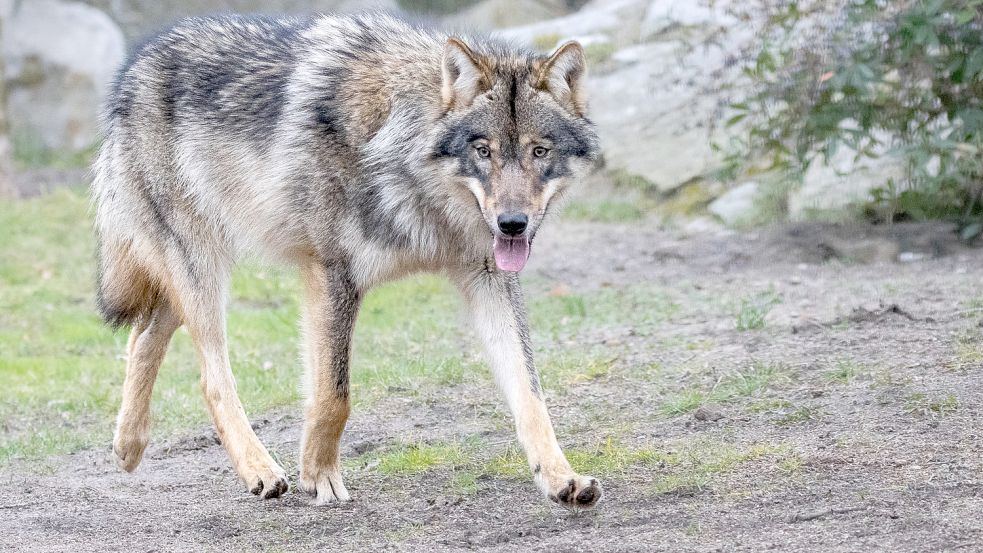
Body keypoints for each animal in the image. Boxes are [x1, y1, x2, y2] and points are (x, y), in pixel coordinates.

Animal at [94, 10, 600, 506]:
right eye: (483, 151)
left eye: (539, 151)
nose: (512, 224)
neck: (399, 155)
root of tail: (135, 66)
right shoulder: (332, 273)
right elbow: (334, 396)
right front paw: (319, 476)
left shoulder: (488, 277)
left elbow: (530, 392)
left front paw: (561, 477)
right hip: (202, 268)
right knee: (211, 378)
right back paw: (260, 470)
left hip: (189, 274)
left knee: (143, 334)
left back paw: (128, 446)